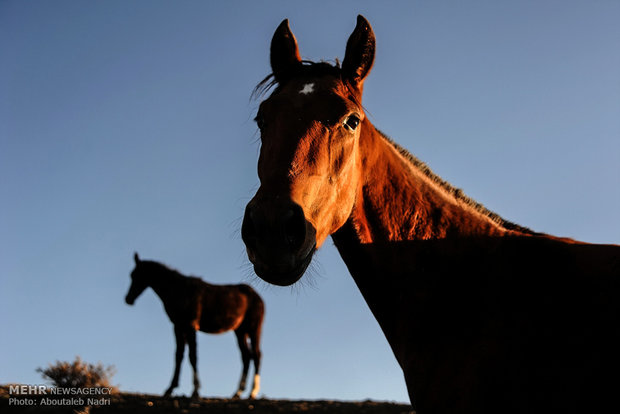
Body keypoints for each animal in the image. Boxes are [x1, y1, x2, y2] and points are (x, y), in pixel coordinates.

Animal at [124, 254, 262, 400]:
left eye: (137, 275)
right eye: (131, 275)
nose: (128, 299)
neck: (179, 290)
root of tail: (258, 298)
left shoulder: (190, 326)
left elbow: (193, 356)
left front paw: (195, 390)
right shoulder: (178, 326)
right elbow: (178, 356)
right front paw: (170, 388)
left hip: (254, 329)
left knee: (256, 355)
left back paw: (253, 392)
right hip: (240, 331)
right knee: (246, 357)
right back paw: (237, 393)